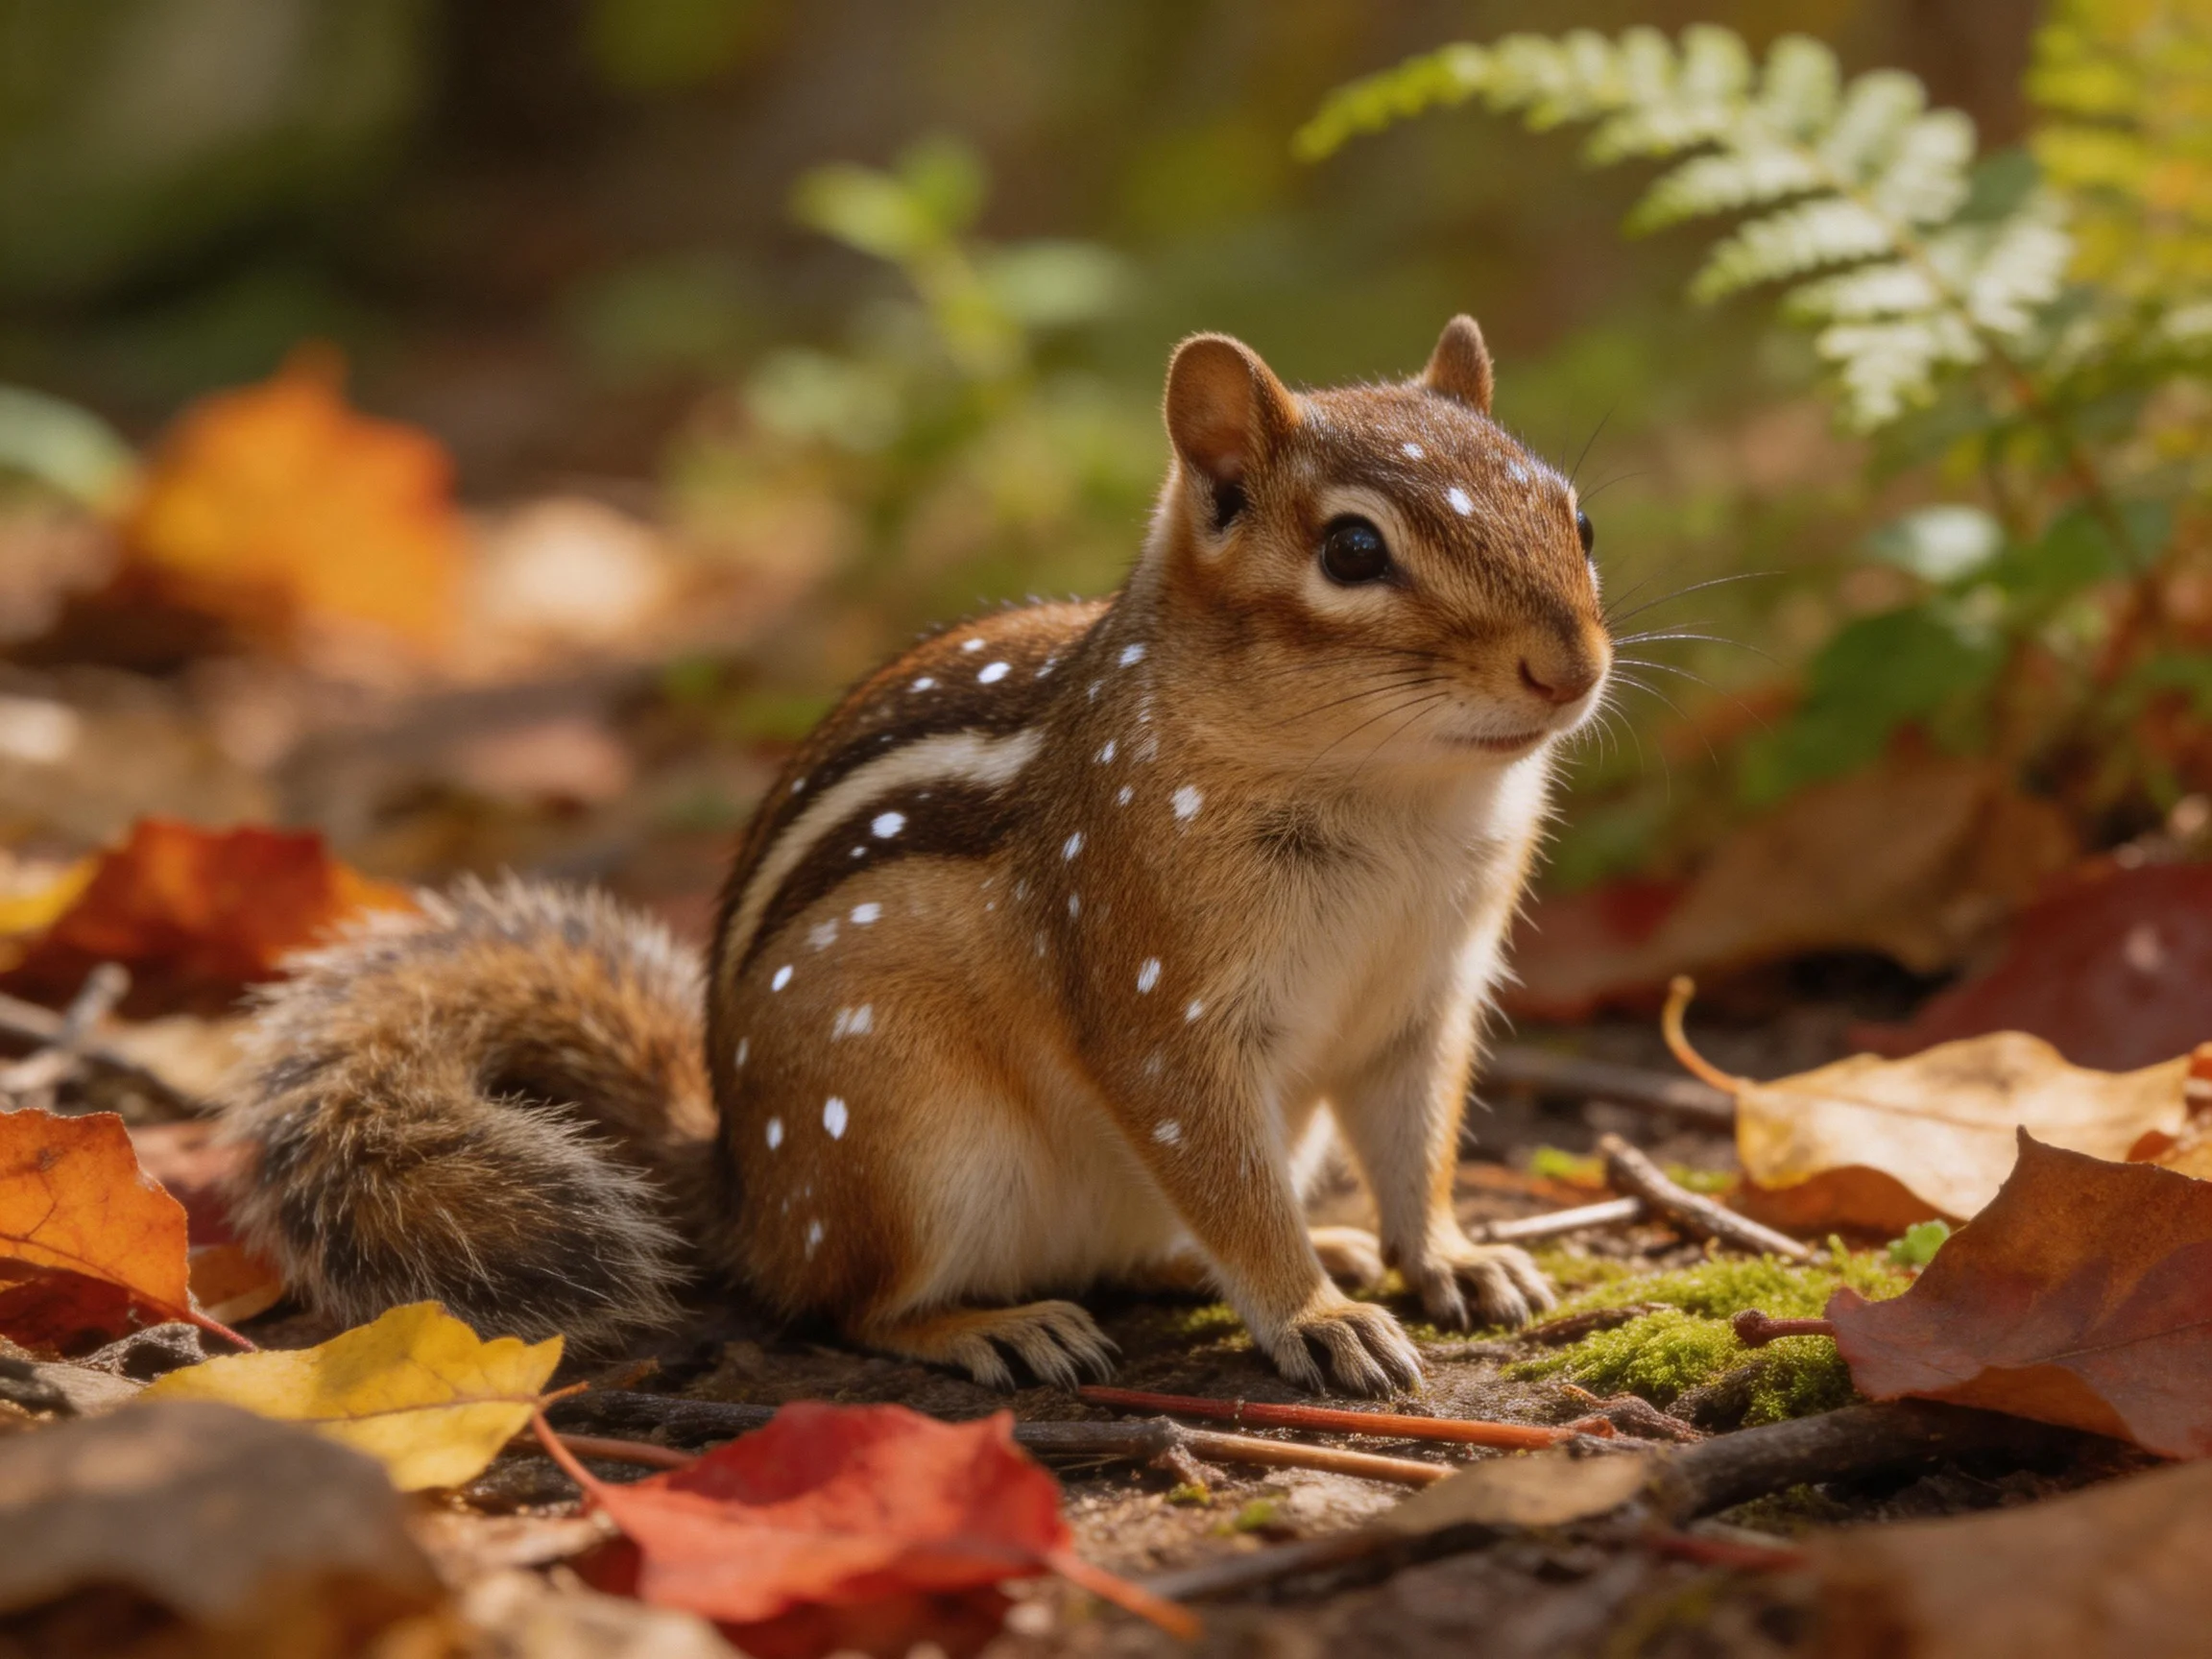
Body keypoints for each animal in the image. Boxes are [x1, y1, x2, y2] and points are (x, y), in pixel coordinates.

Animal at [218, 316, 1612, 1395]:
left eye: (1578, 514)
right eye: (1353, 551)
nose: (1573, 665)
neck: (1403, 794)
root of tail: (743, 1195)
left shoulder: (1423, 1002)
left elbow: (1418, 1142)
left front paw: (1448, 1256)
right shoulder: (1161, 1002)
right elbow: (1224, 1175)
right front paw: (1318, 1316)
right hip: (903, 1135)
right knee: (847, 1305)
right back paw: (999, 1327)